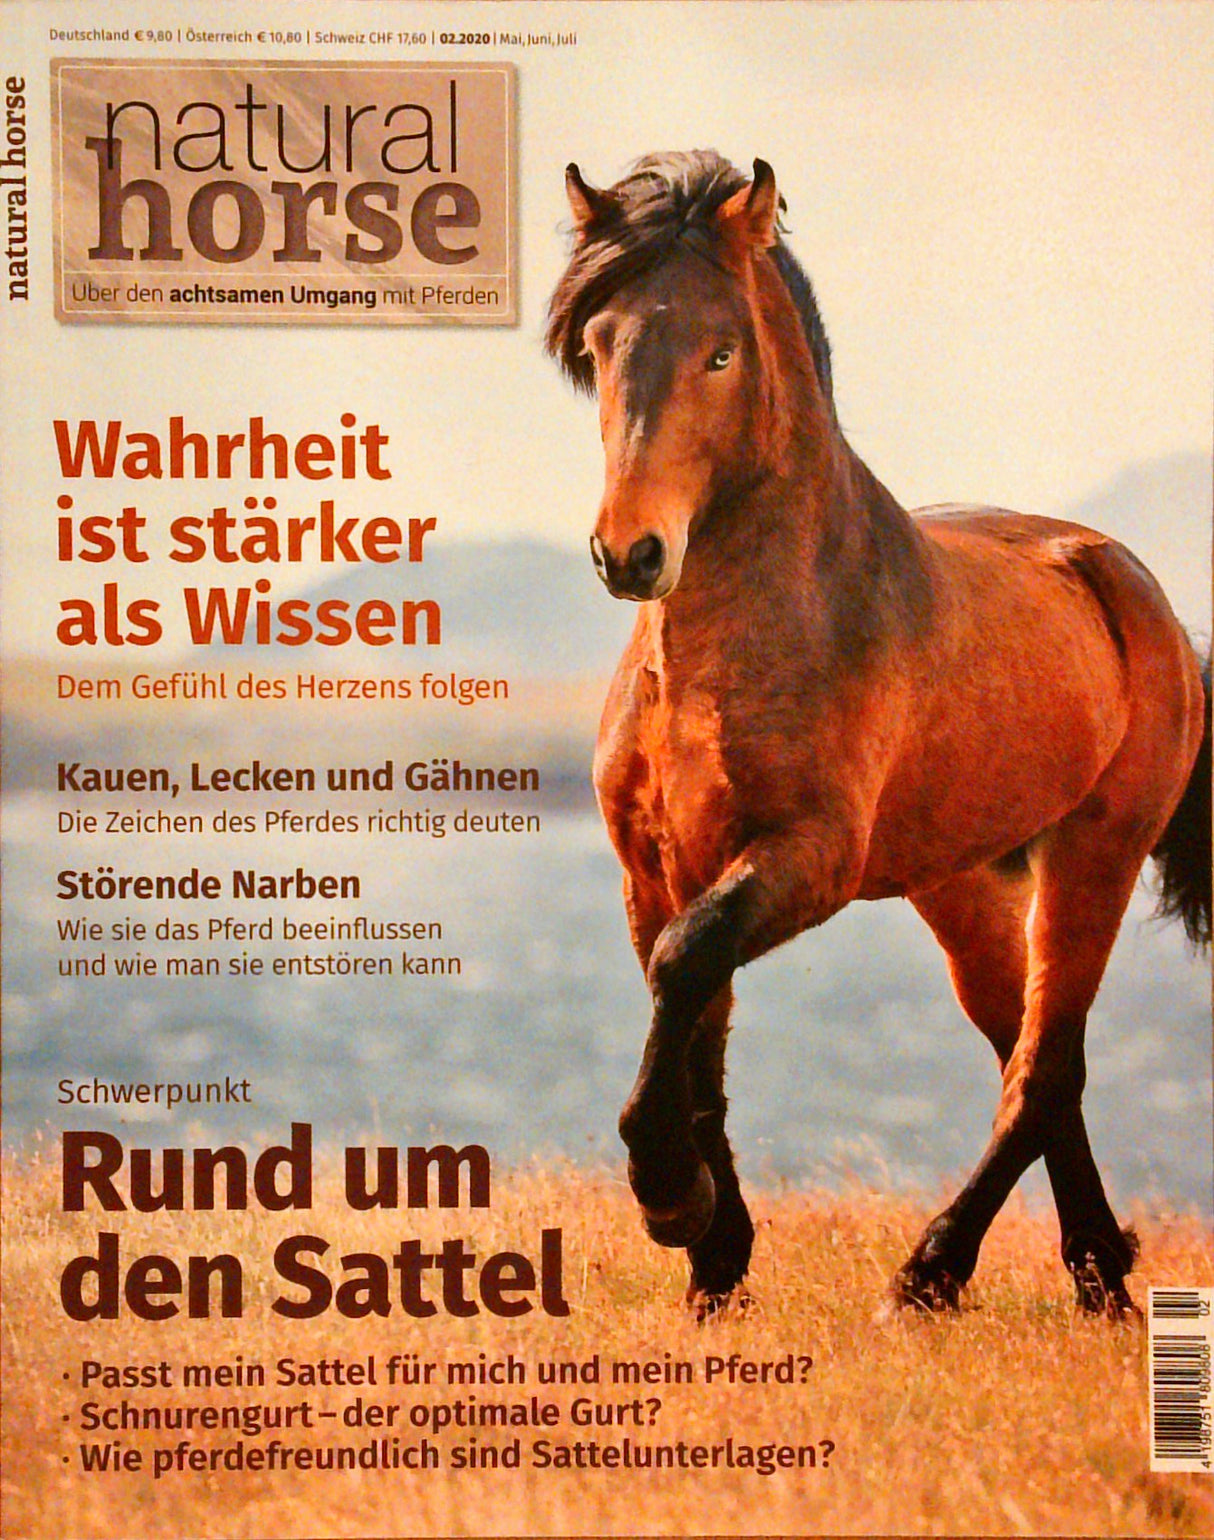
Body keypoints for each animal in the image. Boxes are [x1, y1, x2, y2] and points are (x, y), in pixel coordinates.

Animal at [545, 150, 1211, 1318]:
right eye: (599, 342)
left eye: (721, 350)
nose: (631, 553)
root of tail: (1133, 589)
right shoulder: (657, 865)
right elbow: (694, 1019)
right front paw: (715, 1260)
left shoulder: (807, 857)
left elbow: (685, 966)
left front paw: (670, 1198)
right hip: (962, 886)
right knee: (1028, 1054)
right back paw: (1094, 1270)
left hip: (1097, 850)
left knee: (1046, 1065)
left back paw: (932, 1272)